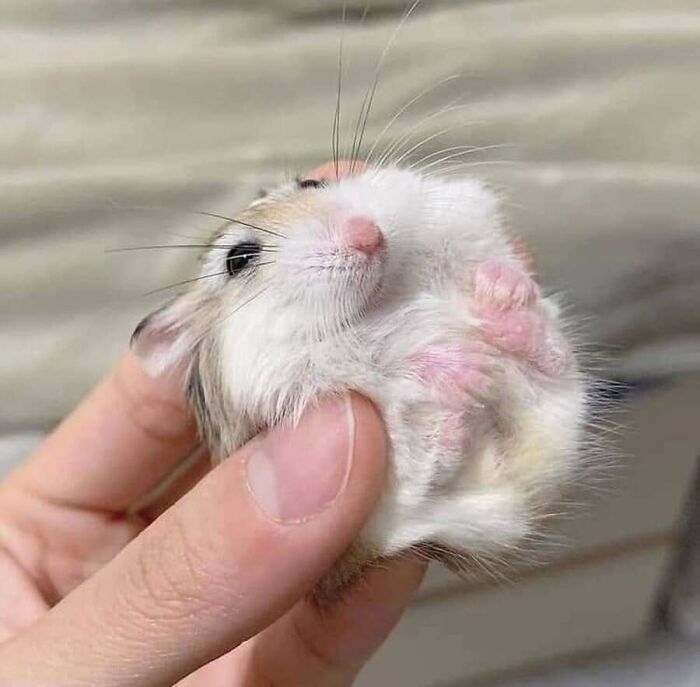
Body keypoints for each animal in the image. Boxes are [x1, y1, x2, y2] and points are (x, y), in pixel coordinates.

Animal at [132, 165, 586, 593]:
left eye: (312, 184)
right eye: (238, 259)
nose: (368, 235)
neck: (383, 297)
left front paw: (499, 287)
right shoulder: (282, 370)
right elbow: (379, 356)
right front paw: (470, 366)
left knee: (554, 360)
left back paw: (503, 303)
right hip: (374, 518)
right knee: (426, 470)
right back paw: (457, 414)